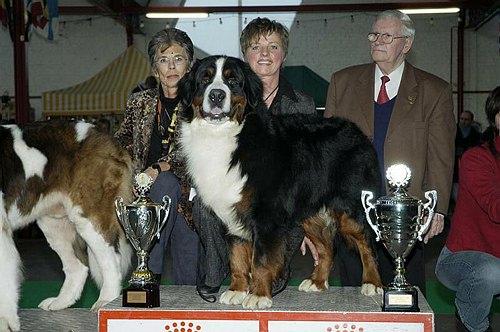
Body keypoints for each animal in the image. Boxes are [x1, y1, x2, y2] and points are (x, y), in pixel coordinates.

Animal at [0, 120, 133, 330]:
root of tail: (105, 137)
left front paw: (5, 321)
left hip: (89, 216)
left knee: (111, 260)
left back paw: (106, 301)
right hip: (54, 223)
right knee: (78, 267)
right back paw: (60, 302)